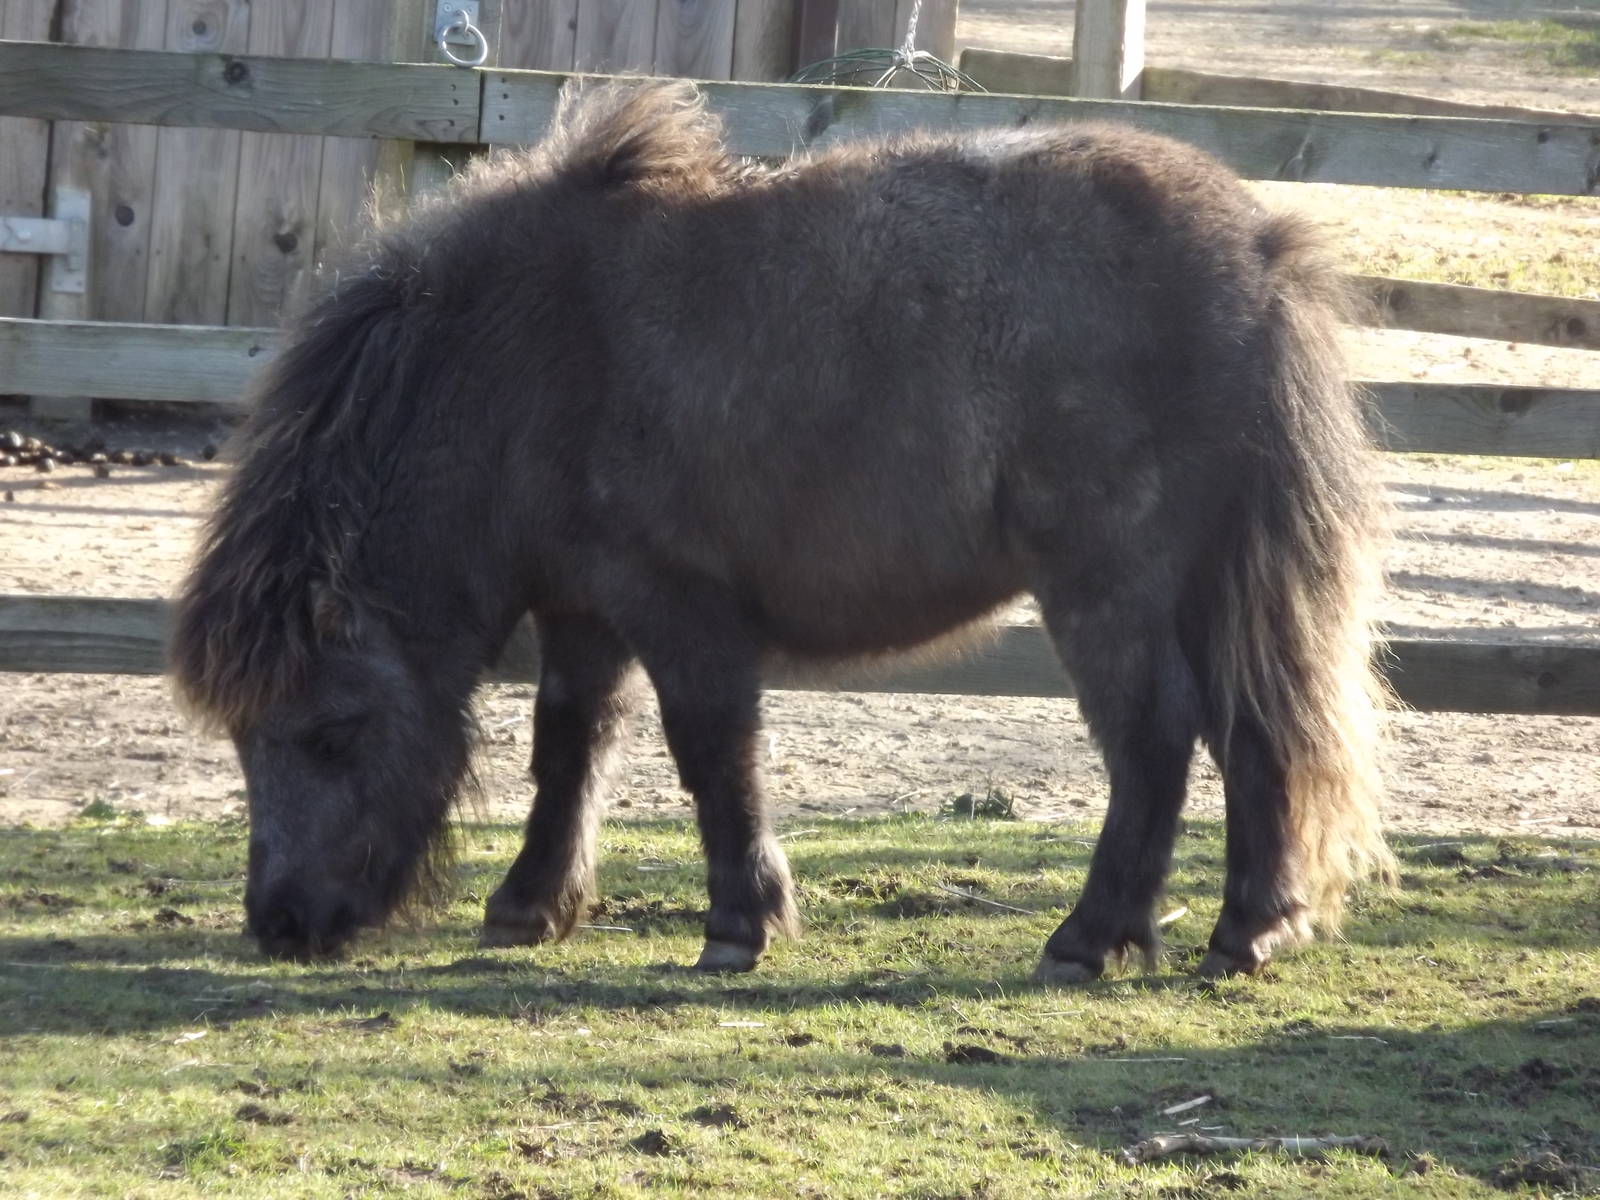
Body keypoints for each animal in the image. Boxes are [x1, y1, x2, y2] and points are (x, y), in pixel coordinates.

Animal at [170, 79, 1393, 980]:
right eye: (241, 740)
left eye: (334, 733)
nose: (279, 921)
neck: (522, 356)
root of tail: (1261, 246)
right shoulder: (582, 608)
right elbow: (568, 744)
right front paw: (531, 904)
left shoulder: (677, 606)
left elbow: (713, 753)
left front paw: (738, 923)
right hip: (1205, 584)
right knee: (1250, 730)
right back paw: (1246, 932)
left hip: (1108, 583)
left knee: (1153, 738)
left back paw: (1089, 941)